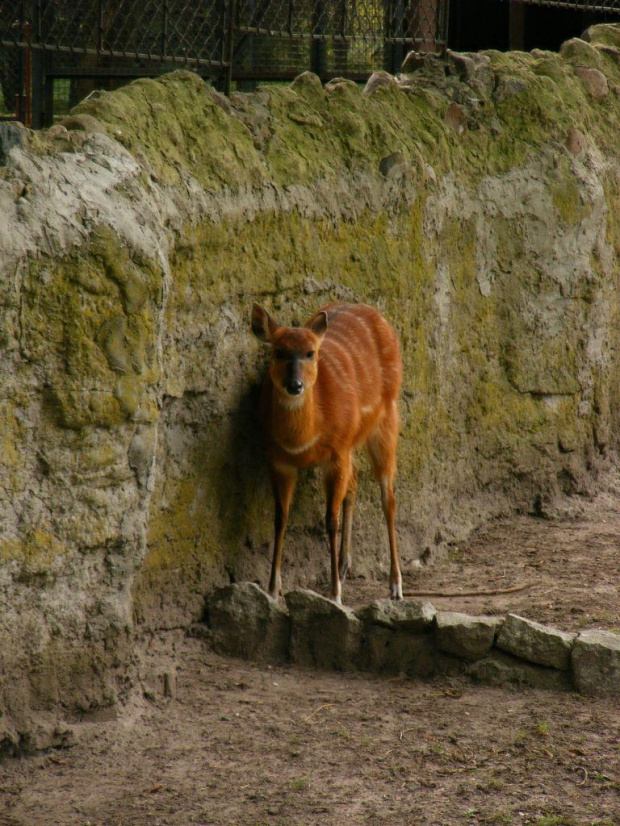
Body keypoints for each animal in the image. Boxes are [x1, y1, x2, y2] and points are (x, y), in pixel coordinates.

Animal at [249, 300, 404, 600]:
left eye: (310, 353)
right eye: (278, 351)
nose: (294, 385)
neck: (303, 440)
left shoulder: (335, 454)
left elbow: (330, 520)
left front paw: (335, 594)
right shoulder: (279, 461)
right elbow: (280, 518)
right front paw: (273, 589)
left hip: (386, 419)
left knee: (388, 498)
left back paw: (395, 586)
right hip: (354, 444)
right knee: (355, 480)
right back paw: (344, 566)